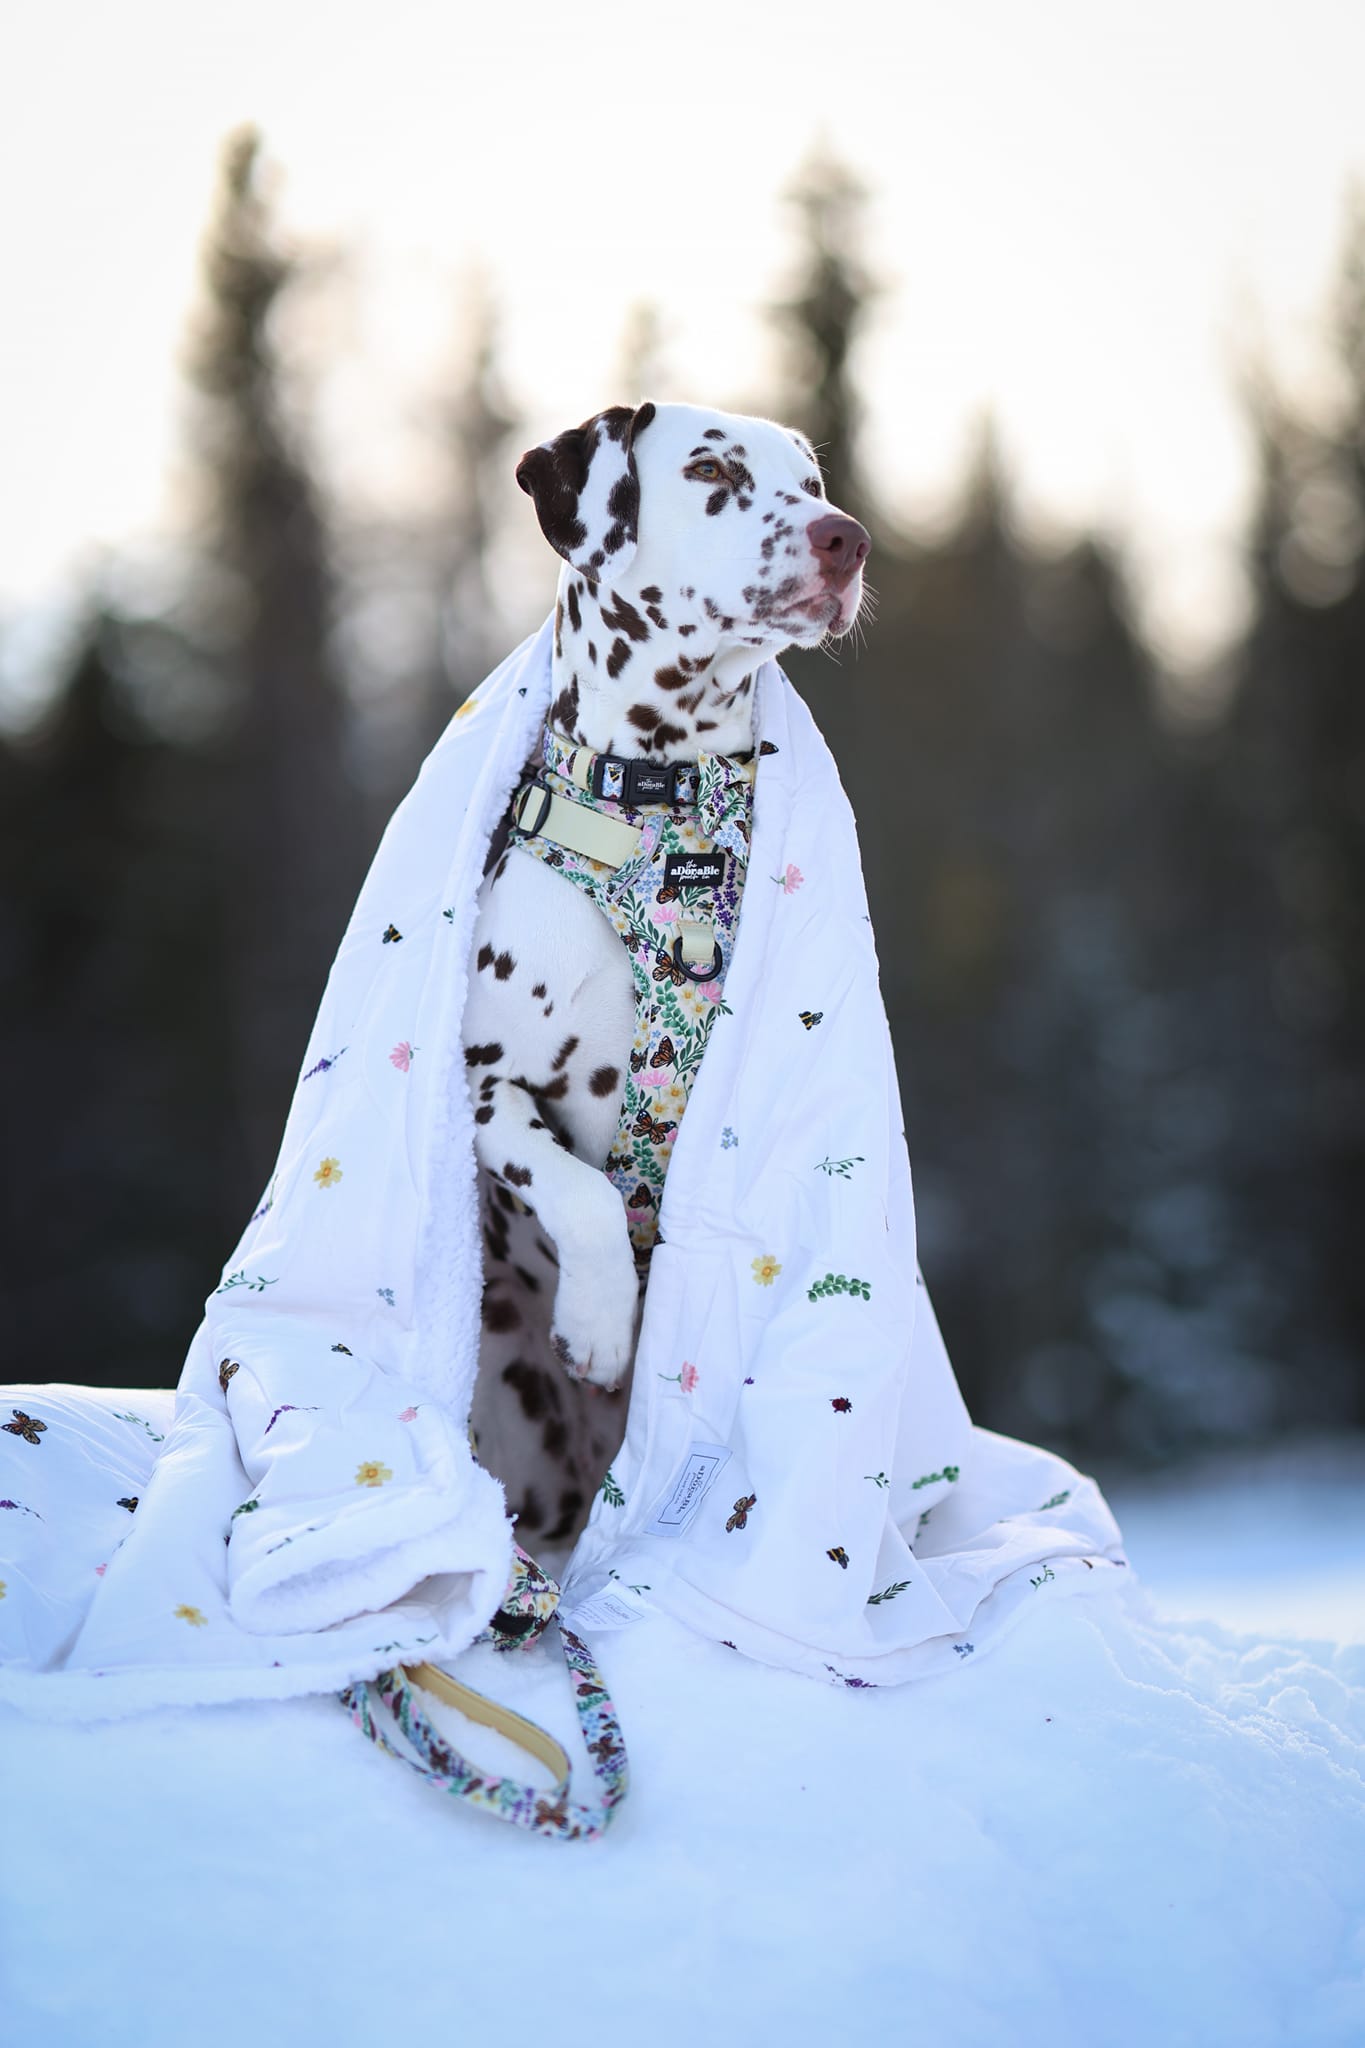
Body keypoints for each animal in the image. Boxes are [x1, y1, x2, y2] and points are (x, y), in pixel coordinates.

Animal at [464, 403, 871, 1548]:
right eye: (712, 472)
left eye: (811, 481)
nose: (846, 537)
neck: (658, 819)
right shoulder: (484, 1089)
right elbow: (584, 1190)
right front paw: (602, 1323)